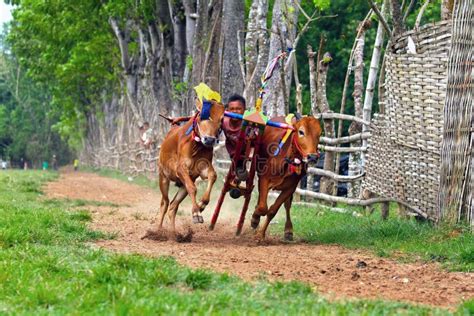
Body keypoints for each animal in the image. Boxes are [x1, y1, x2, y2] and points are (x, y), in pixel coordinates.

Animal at [158, 100, 225, 236]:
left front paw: (201, 205)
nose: (209, 140)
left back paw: (174, 233)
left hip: (182, 186)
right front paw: (196, 213)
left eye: (221, 119)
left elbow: (212, 176)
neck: (196, 146)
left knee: (173, 207)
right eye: (203, 115)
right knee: (165, 204)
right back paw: (158, 230)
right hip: (163, 178)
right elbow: (193, 188)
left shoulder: (203, 168)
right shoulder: (180, 169)